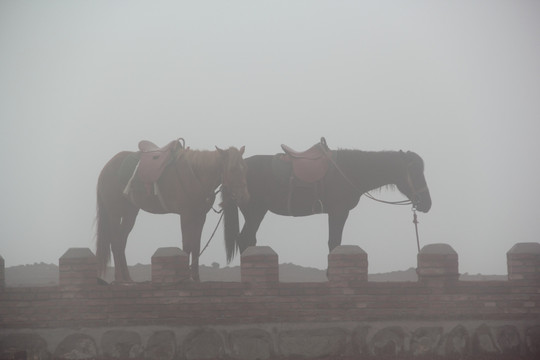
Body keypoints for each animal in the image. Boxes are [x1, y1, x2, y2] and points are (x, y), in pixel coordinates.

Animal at [96, 139, 249, 282]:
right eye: (232, 168)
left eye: (244, 168)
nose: (244, 197)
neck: (196, 174)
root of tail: (105, 169)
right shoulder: (186, 215)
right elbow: (187, 246)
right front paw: (187, 278)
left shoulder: (200, 216)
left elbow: (196, 246)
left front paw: (196, 278)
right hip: (114, 213)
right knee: (115, 242)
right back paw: (120, 279)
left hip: (130, 212)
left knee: (121, 242)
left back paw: (127, 278)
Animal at [221, 142, 432, 262]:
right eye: (415, 172)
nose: (426, 203)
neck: (349, 170)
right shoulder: (339, 211)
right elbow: (334, 242)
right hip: (255, 211)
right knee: (245, 239)